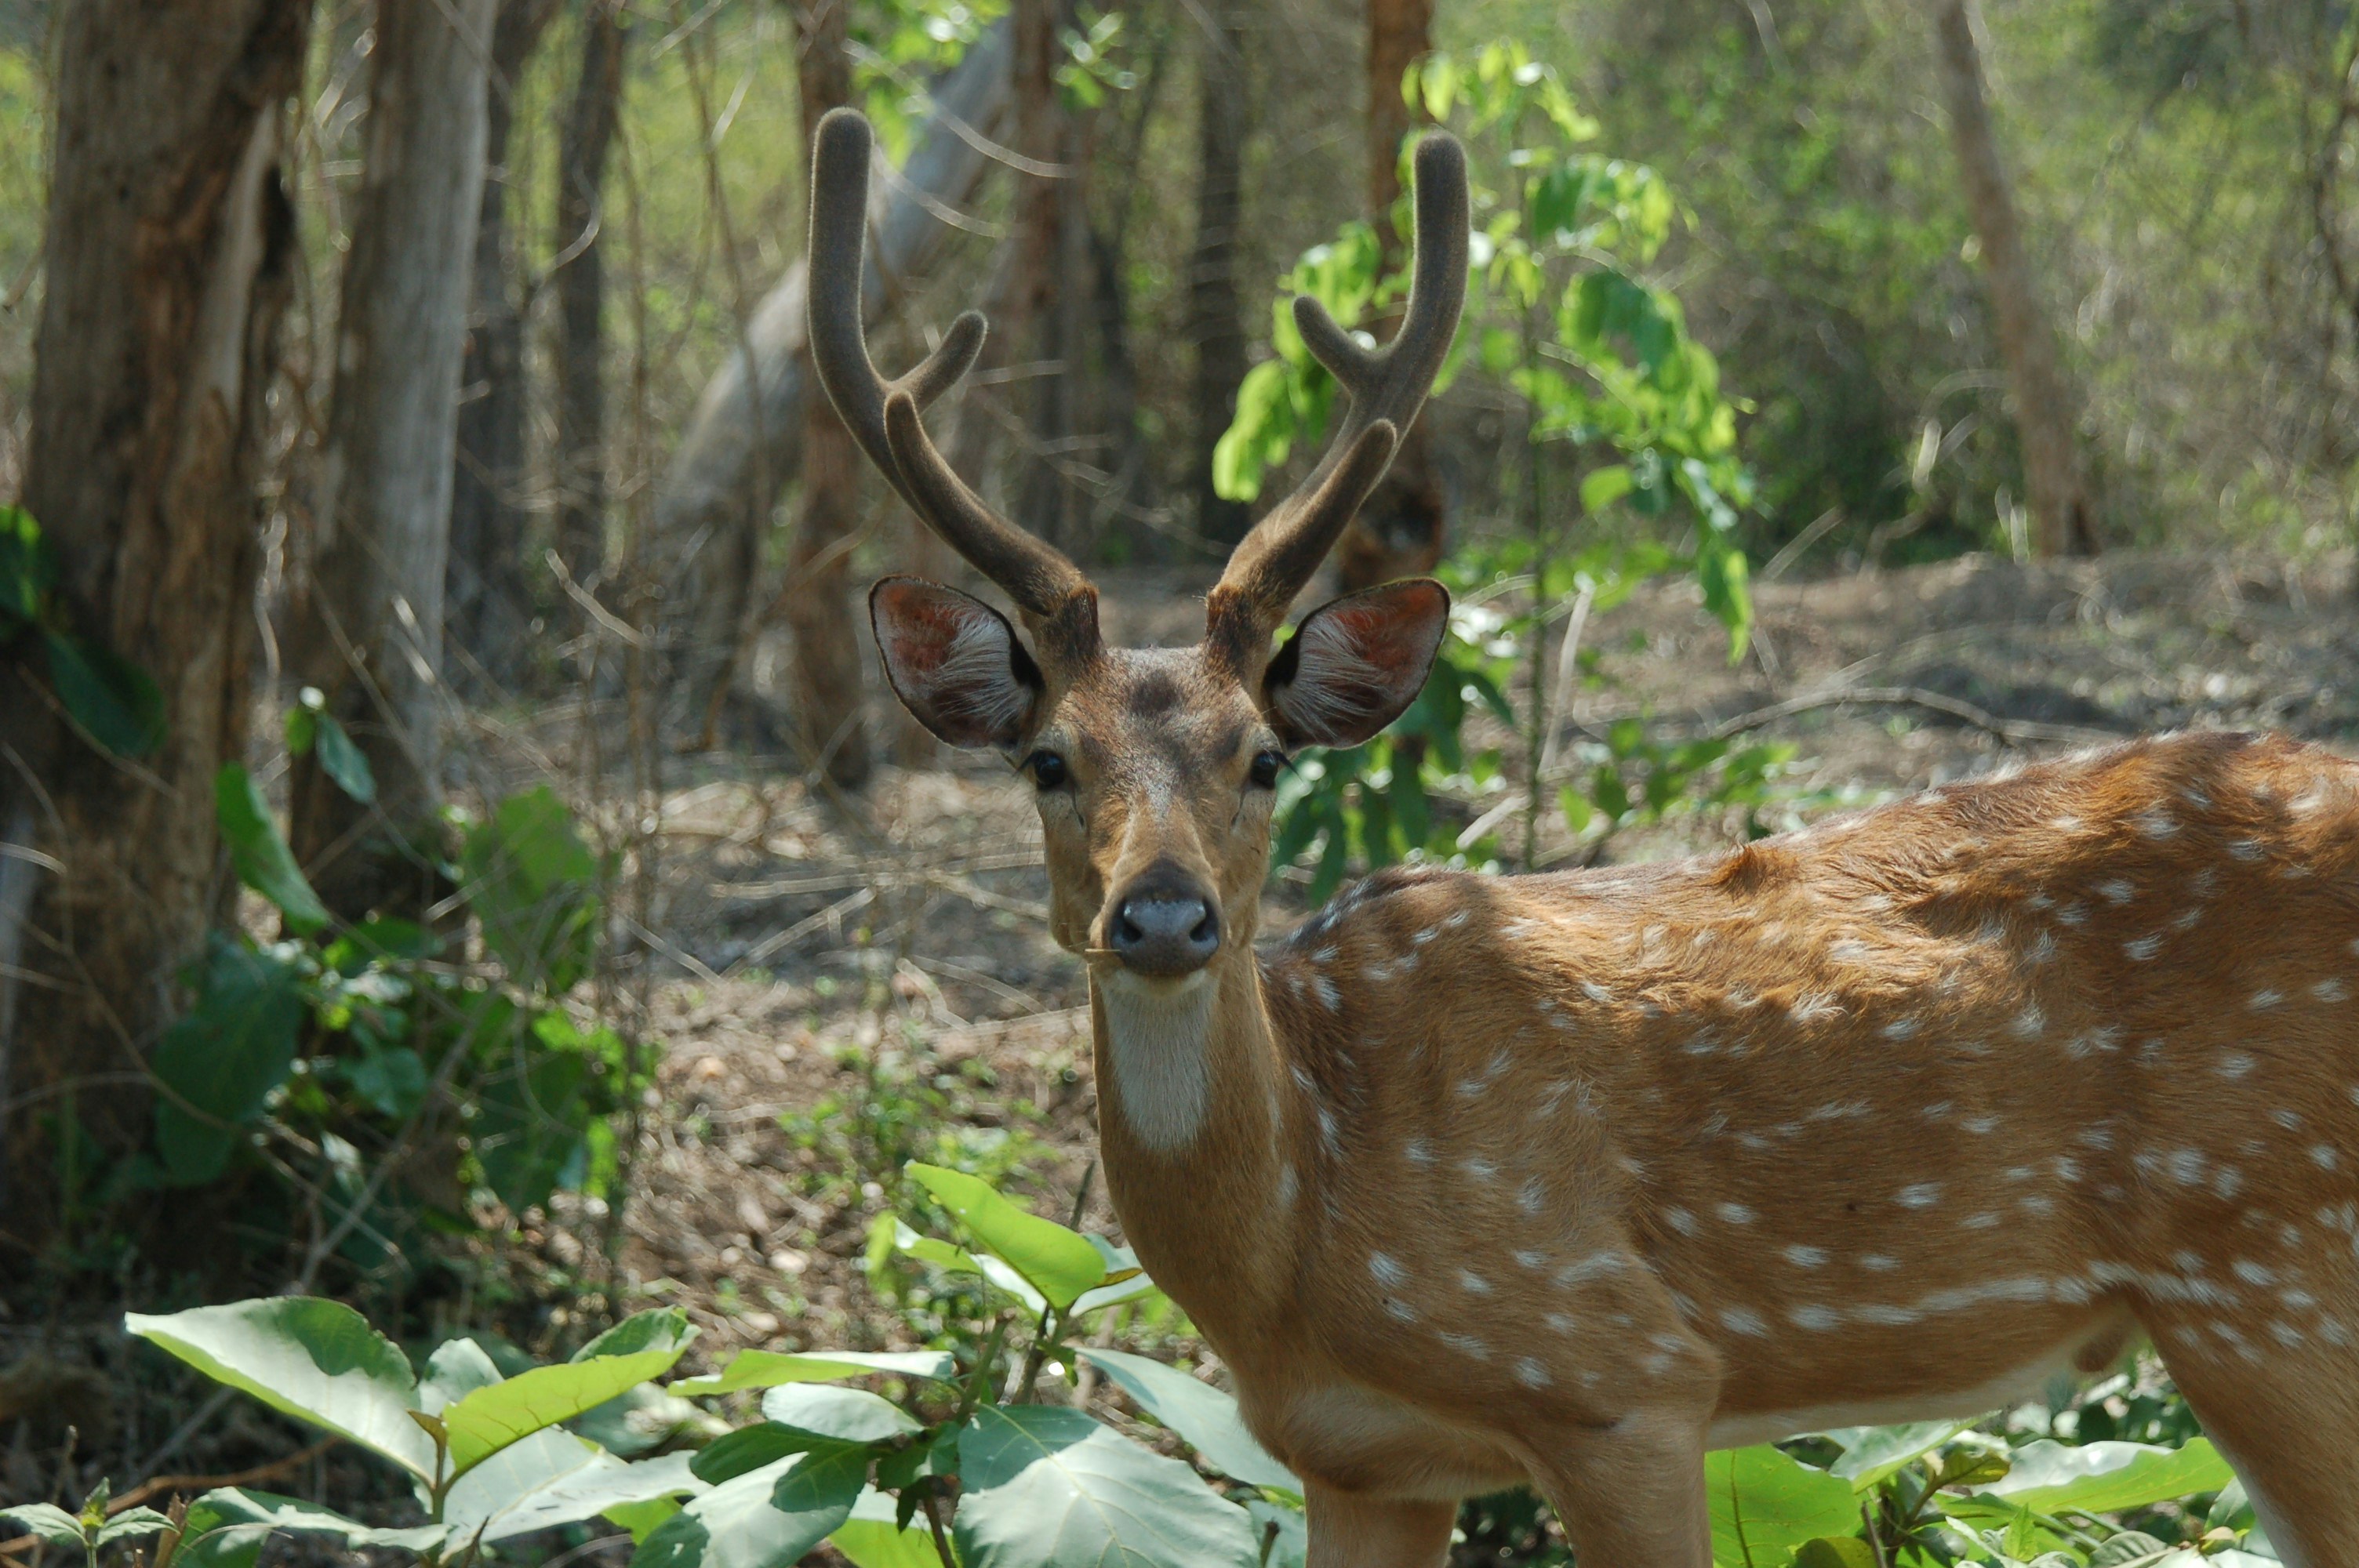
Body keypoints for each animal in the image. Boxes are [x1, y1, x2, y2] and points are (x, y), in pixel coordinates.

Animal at [804, 106, 2359, 1567]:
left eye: (1264, 758)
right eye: (1046, 762)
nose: (1166, 915)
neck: (1298, 1248)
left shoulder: (1619, 1376)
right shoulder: (1352, 1459)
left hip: (2269, 1265)